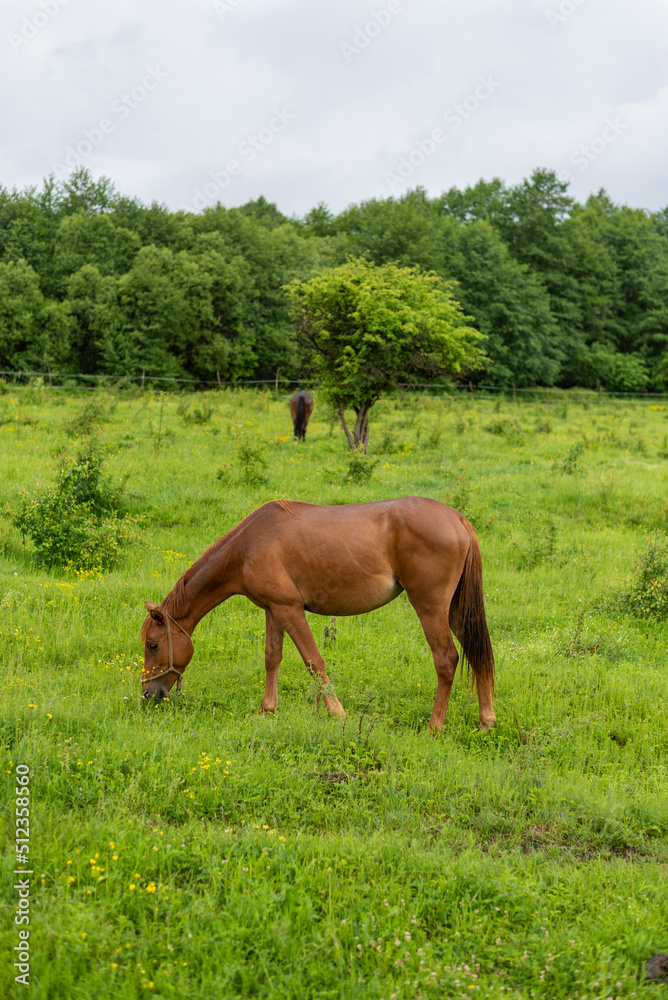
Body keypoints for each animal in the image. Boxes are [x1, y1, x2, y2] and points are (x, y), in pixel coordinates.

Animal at [141, 496, 496, 732]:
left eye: (153, 645)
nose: (148, 694)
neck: (248, 546)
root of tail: (457, 518)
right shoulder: (273, 610)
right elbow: (272, 657)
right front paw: (266, 710)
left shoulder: (290, 609)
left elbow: (314, 661)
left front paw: (337, 713)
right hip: (457, 611)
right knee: (476, 653)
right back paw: (486, 721)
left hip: (430, 608)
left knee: (447, 659)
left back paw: (435, 726)